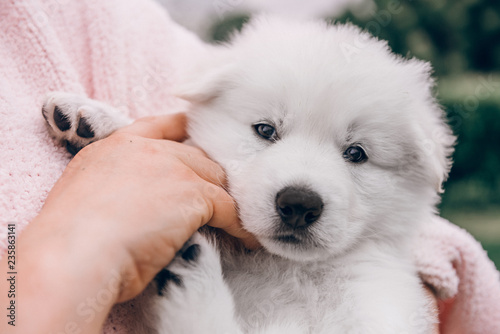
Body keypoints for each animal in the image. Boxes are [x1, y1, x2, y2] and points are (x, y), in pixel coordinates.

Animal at [44, 16, 458, 334]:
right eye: (265, 129)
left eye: (356, 153)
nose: (299, 205)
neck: (288, 267)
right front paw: (96, 119)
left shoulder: (378, 304)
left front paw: (193, 277)